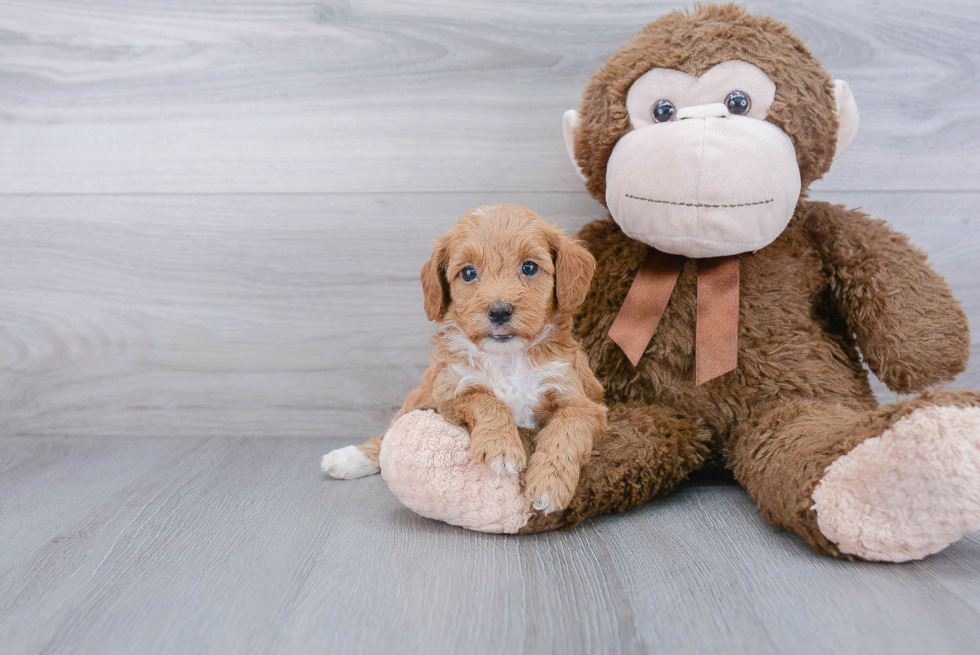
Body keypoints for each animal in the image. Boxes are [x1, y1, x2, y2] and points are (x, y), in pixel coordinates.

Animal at [326, 204, 608, 512]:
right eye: (469, 273)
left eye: (530, 267)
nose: (499, 311)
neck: (507, 358)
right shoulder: (449, 392)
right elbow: (488, 401)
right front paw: (501, 449)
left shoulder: (583, 402)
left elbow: (567, 427)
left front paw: (549, 483)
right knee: (390, 430)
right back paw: (349, 458)